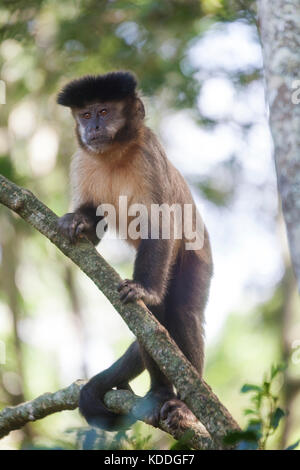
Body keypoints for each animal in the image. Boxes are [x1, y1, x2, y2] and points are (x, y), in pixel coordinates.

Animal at [56, 71, 213, 432]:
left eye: (104, 111)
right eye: (85, 114)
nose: (93, 126)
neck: (113, 154)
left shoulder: (149, 155)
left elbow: (160, 224)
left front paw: (143, 289)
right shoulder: (81, 161)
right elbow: (91, 226)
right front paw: (76, 222)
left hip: (197, 259)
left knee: (181, 313)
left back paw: (184, 405)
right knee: (154, 322)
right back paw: (159, 392)